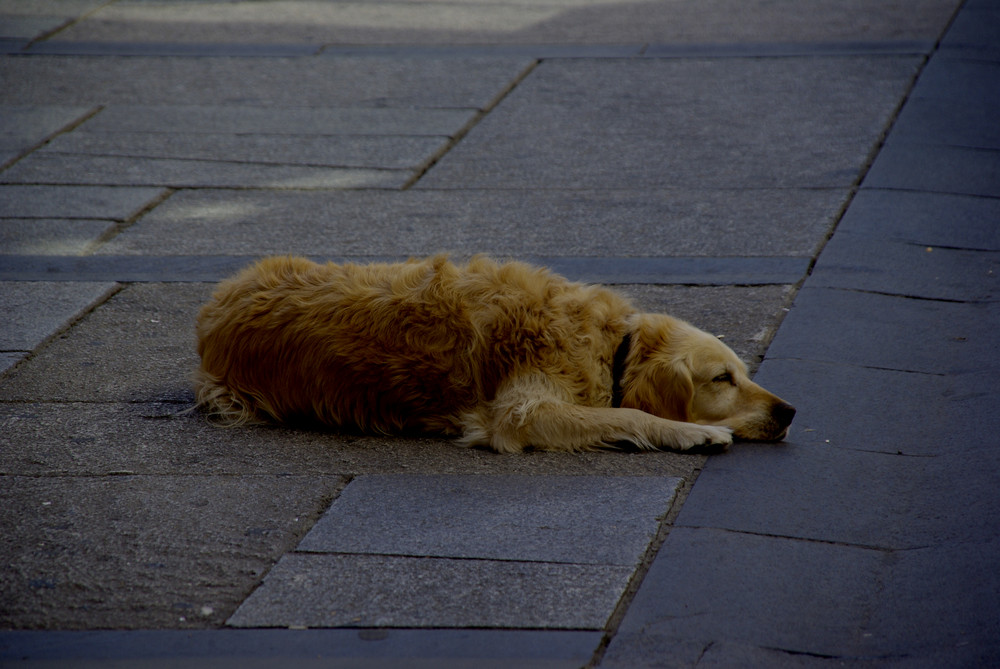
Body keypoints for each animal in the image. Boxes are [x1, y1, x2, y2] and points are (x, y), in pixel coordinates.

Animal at [191, 256, 792, 454]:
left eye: (743, 373)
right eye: (722, 378)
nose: (790, 412)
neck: (609, 343)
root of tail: (213, 309)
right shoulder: (520, 412)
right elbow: (629, 412)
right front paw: (692, 432)